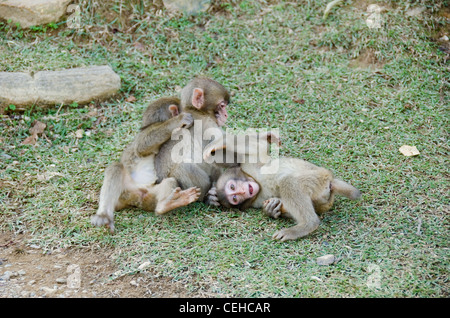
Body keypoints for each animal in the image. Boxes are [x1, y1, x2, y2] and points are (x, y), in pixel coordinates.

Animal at [91, 95, 200, 232]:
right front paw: (179, 120)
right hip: (125, 191)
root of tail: (136, 199)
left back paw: (165, 205)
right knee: (115, 167)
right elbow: (142, 146)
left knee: (170, 181)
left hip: (150, 194)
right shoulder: (148, 130)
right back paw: (104, 215)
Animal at [204, 134, 362, 241]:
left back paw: (308, 225)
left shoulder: (249, 165)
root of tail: (330, 180)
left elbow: (255, 147)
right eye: (235, 198)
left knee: (288, 182)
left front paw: (216, 144)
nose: (242, 191)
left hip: (318, 177)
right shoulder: (256, 200)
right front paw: (271, 209)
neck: (258, 184)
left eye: (232, 187)